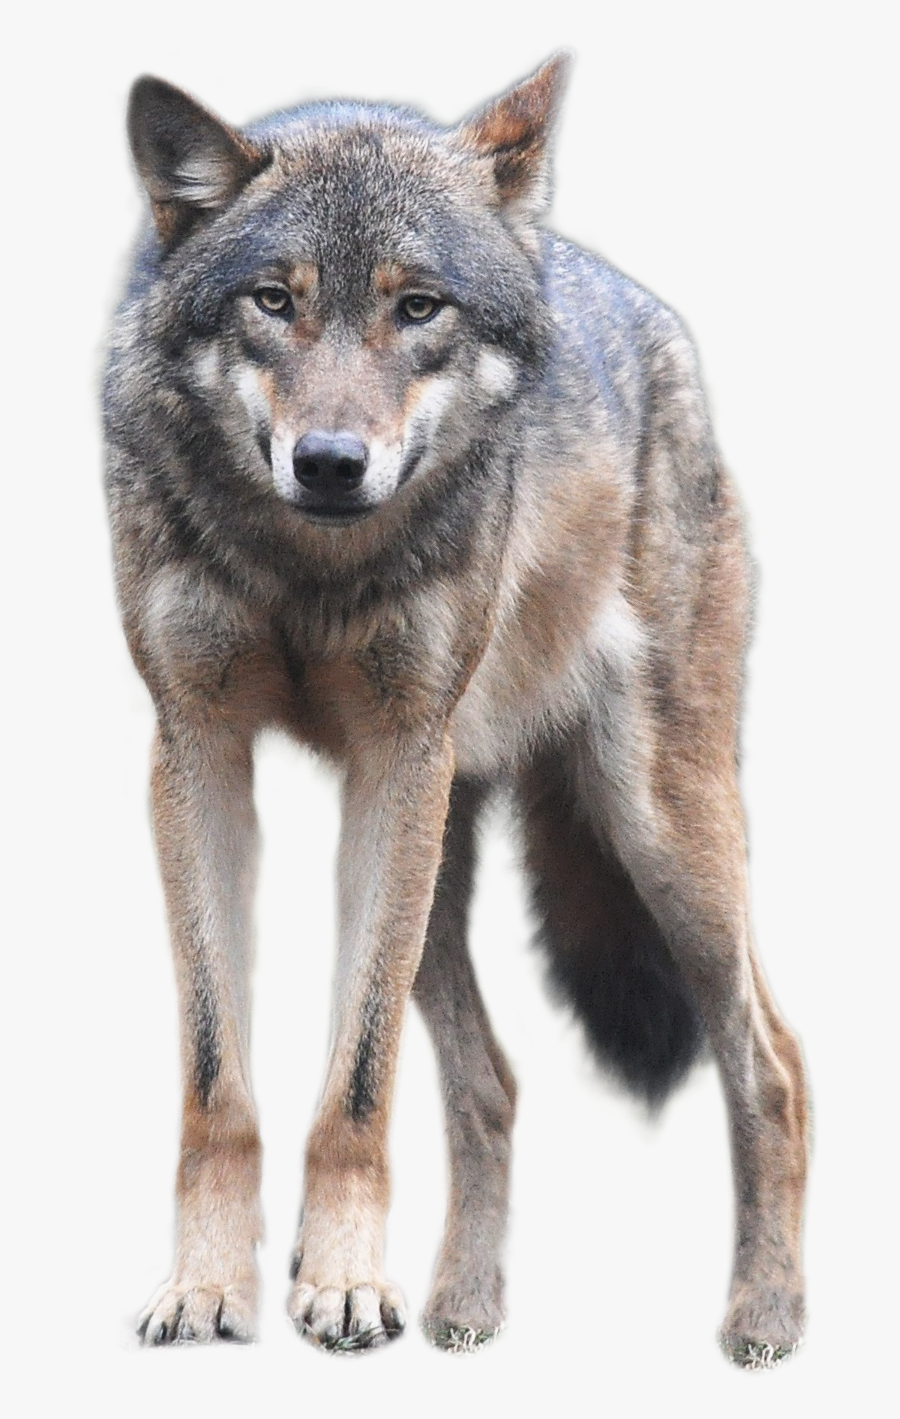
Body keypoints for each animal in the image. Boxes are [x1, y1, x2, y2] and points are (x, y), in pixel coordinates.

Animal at [104, 57, 808, 1365]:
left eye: (419, 308)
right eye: (273, 302)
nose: (330, 462)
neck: (311, 571)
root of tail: (642, 312)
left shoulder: (395, 761)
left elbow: (356, 1082)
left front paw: (338, 1287)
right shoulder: (197, 752)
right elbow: (221, 1079)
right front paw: (213, 1289)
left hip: (652, 833)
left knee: (773, 1061)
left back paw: (767, 1316)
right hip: (440, 864)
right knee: (492, 1086)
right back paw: (463, 1307)